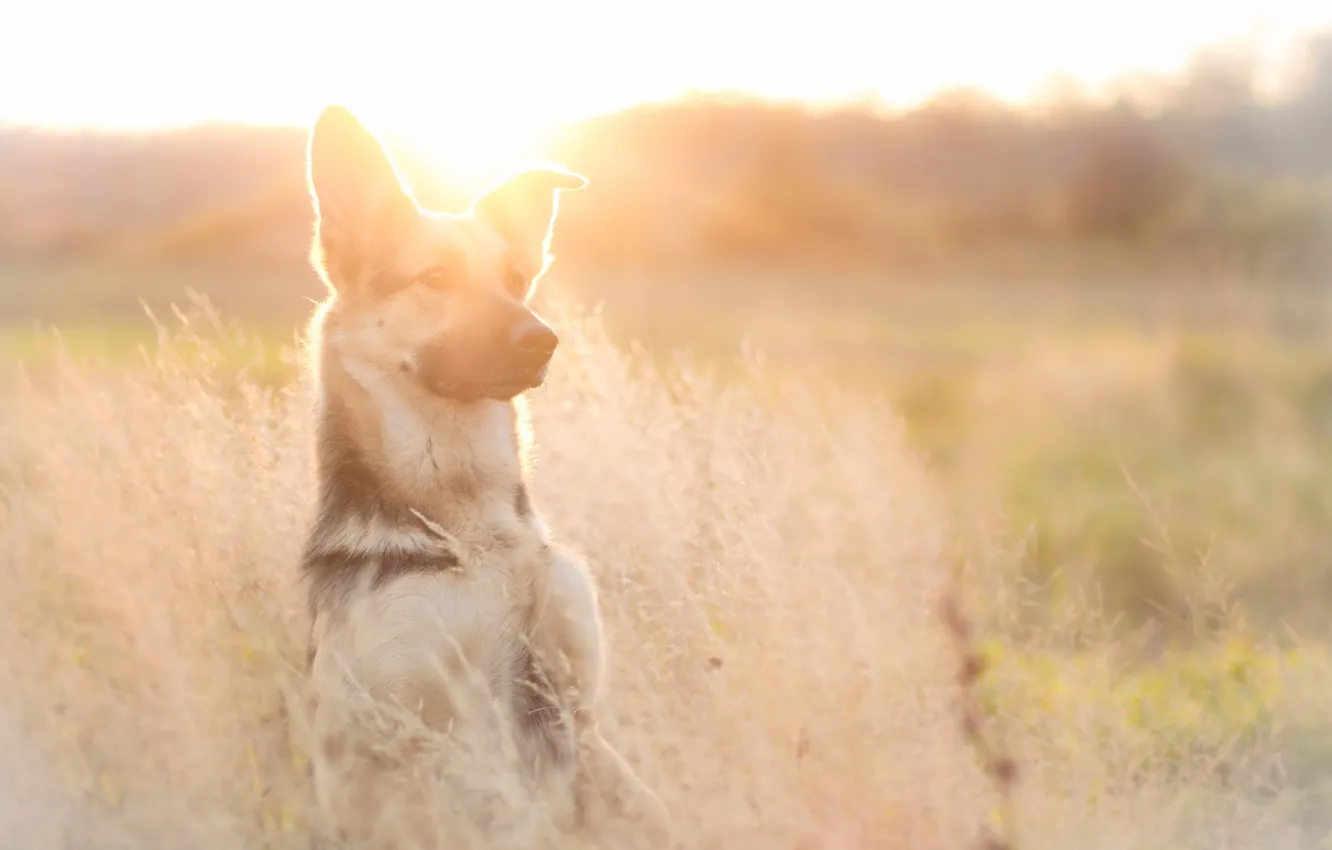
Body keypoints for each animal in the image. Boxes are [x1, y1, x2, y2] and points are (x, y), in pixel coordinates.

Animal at [303, 106, 676, 850]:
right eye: (435, 278)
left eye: (514, 276)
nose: (542, 340)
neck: (470, 532)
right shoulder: (394, 727)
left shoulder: (570, 702)